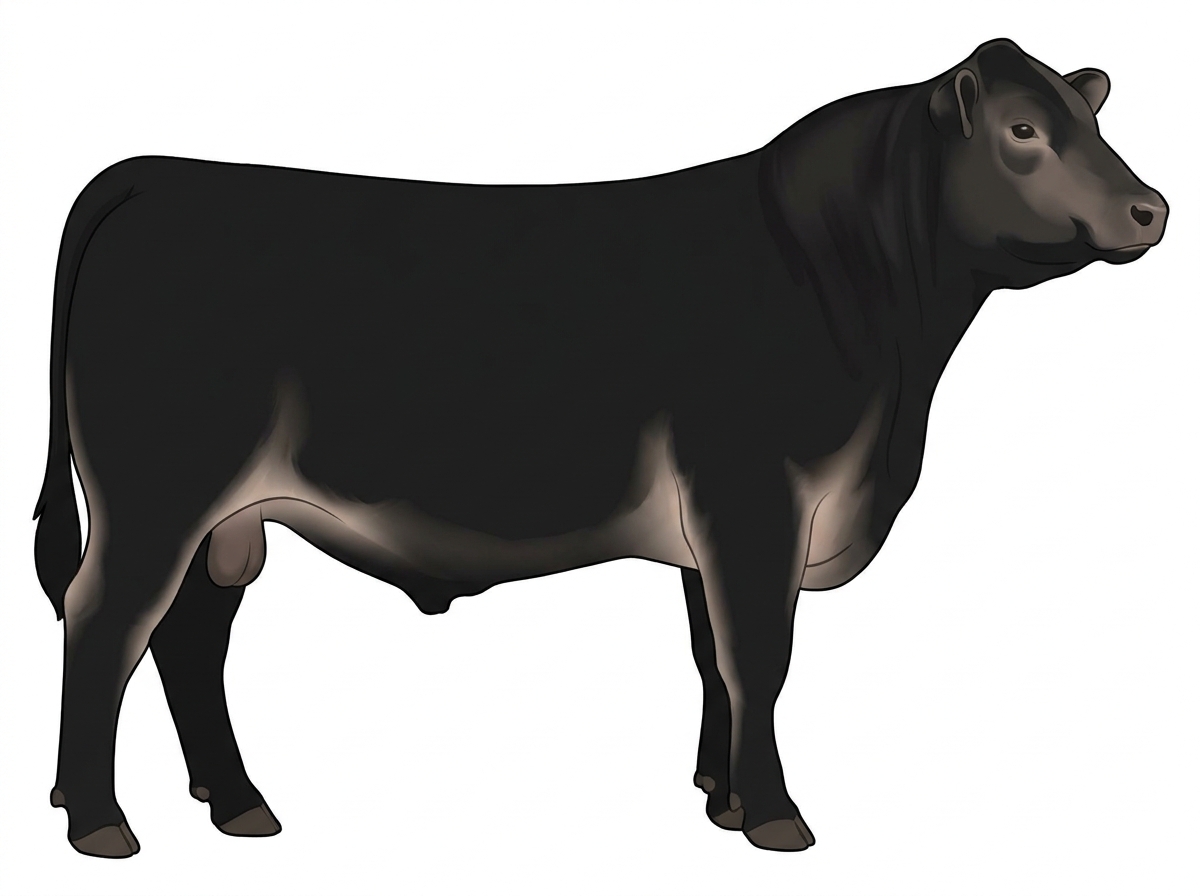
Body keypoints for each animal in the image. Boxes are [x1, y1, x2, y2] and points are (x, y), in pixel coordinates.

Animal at [33, 38, 1166, 857]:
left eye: (1092, 120)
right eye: (1023, 129)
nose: (1150, 207)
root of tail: (153, 173)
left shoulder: (717, 523)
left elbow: (714, 657)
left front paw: (721, 798)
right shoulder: (755, 496)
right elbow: (760, 657)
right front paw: (775, 815)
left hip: (228, 516)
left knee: (188, 637)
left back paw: (236, 803)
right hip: (158, 492)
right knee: (105, 620)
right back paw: (100, 822)